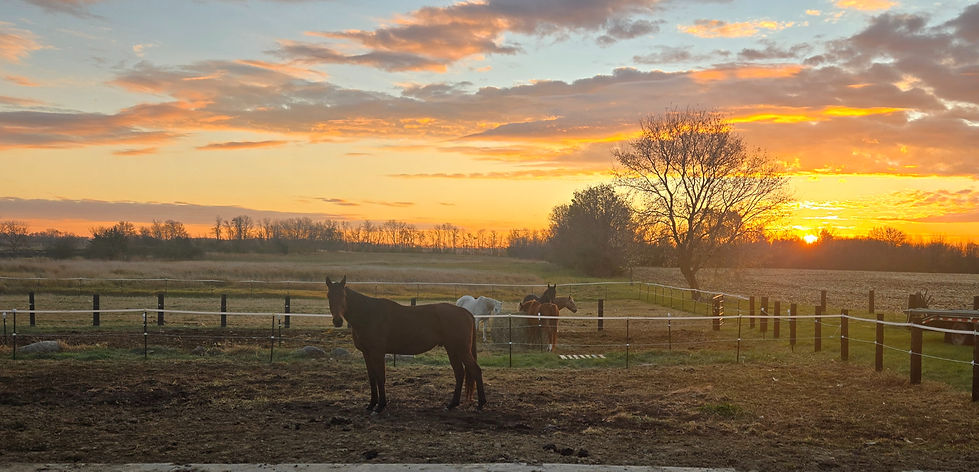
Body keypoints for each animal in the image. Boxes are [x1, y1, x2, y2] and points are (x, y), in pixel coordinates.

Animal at [326, 276, 486, 413]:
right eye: (329, 296)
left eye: (343, 296)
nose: (337, 321)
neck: (369, 315)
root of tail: (465, 312)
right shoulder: (366, 353)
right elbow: (372, 378)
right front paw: (371, 404)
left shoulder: (377, 353)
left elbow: (380, 377)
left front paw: (380, 406)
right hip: (452, 349)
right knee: (459, 373)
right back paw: (452, 404)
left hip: (462, 350)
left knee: (475, 371)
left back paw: (481, 404)